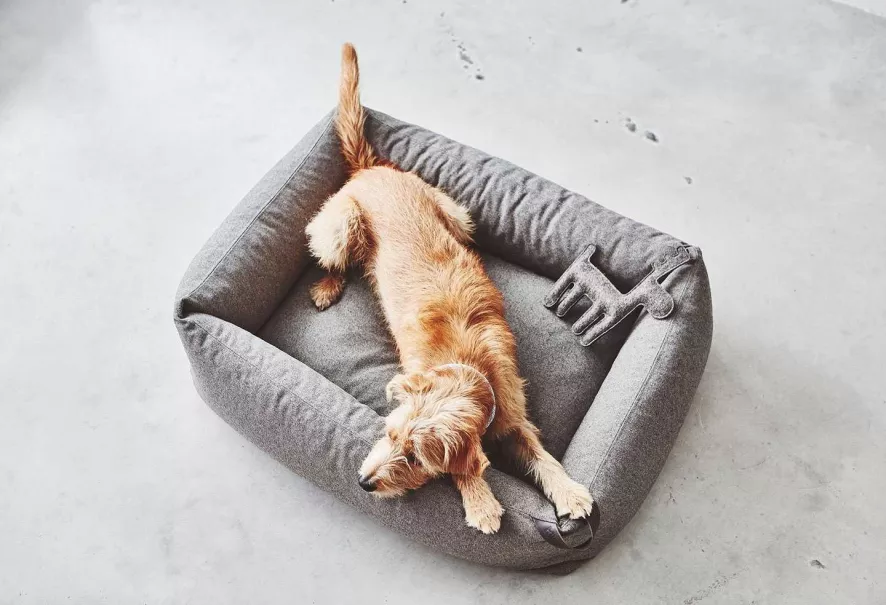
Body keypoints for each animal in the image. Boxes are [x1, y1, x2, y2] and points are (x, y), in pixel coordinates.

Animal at [304, 43, 594, 534]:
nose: (363, 483)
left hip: (457, 216)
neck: (466, 364)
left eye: (414, 459)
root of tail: (372, 168)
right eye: (388, 433)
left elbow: (542, 456)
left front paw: (568, 491)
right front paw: (480, 500)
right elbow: (466, 468)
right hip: (343, 224)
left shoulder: (514, 415)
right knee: (331, 255)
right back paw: (327, 285)